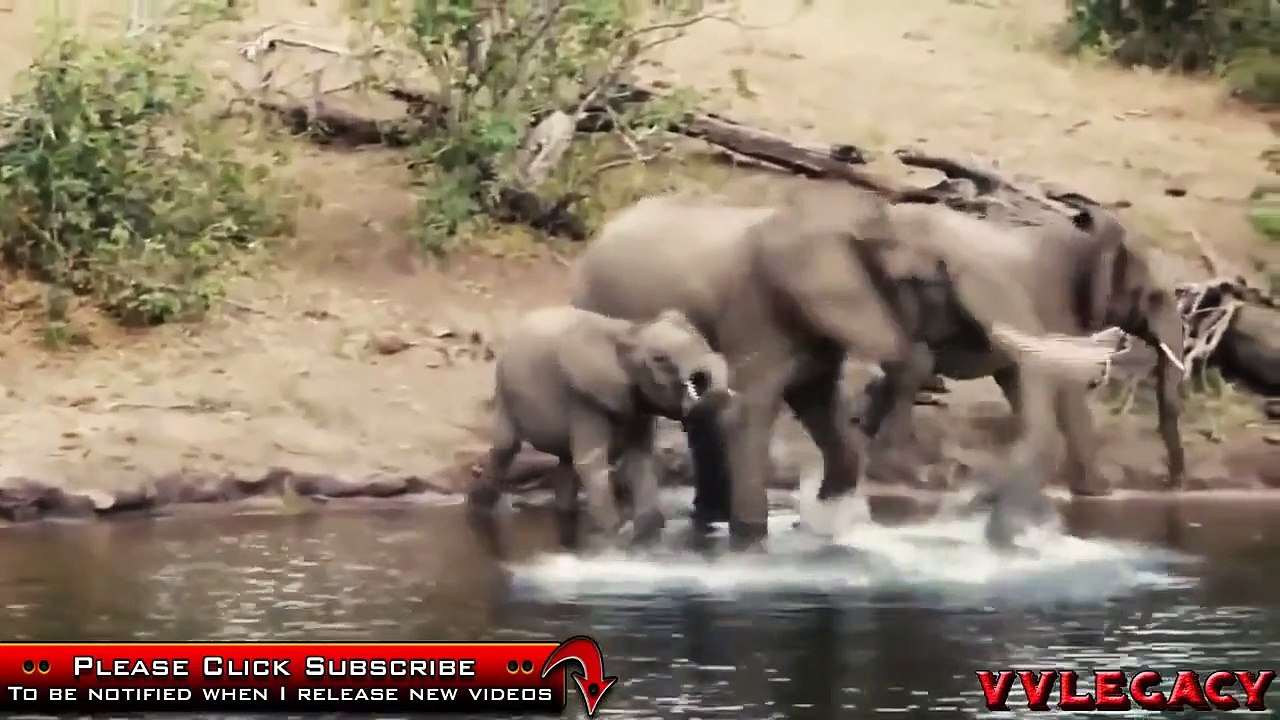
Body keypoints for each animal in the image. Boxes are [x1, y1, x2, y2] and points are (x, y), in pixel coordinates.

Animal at [465, 305, 732, 550]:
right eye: (659, 359)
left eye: (702, 340)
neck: (631, 331)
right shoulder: (583, 396)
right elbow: (592, 463)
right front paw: (617, 536)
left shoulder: (636, 401)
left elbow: (640, 458)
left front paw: (649, 534)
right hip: (504, 386)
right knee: (506, 447)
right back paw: (477, 509)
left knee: (566, 463)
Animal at [859, 200, 1187, 507]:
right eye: (1153, 296)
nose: (1170, 483)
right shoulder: (1055, 309)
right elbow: (1066, 387)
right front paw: (1100, 492)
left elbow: (1018, 381)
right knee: (913, 367)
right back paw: (897, 474)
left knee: (904, 368)